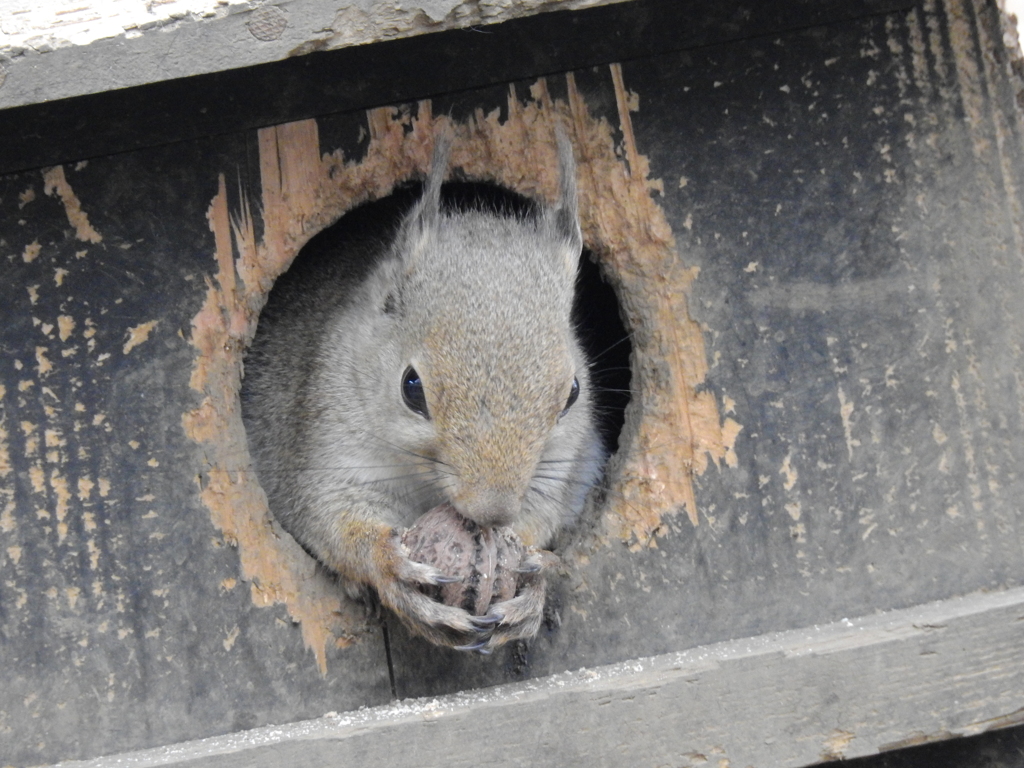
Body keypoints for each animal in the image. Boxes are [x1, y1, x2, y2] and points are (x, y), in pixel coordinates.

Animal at [242, 131, 602, 651]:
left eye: (573, 392)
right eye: (411, 388)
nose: (493, 511)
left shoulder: (566, 465)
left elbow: (541, 516)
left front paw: (533, 580)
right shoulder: (324, 440)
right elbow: (334, 517)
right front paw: (390, 568)